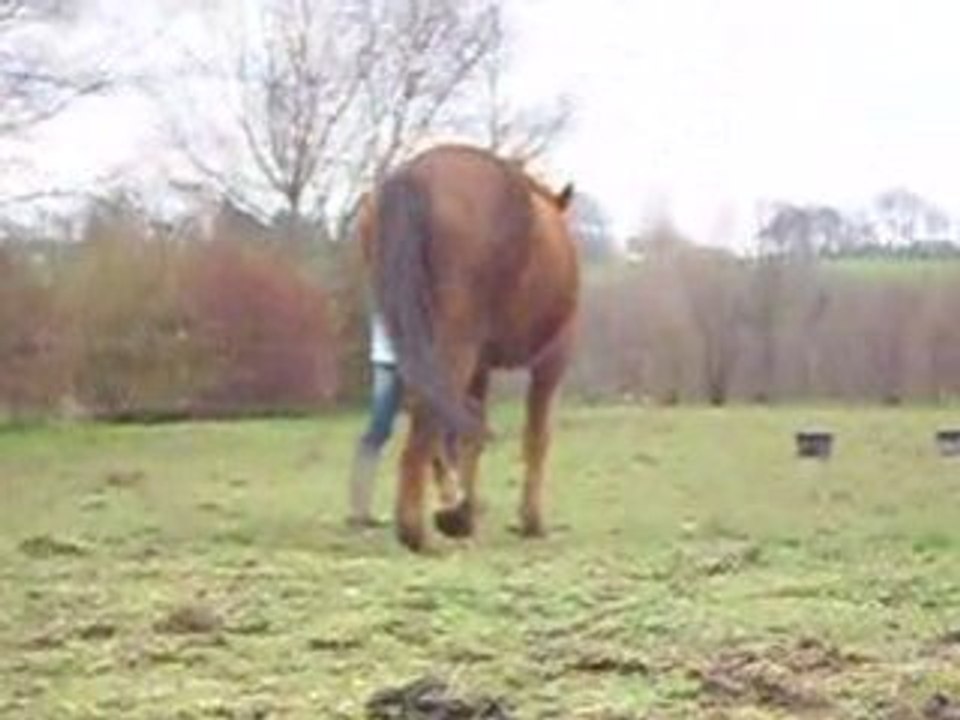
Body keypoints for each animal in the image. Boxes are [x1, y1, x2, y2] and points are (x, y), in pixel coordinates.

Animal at [357, 144, 579, 551]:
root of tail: (414, 176)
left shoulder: (480, 368)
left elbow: (468, 434)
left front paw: (465, 510)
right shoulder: (553, 359)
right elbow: (537, 435)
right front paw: (531, 521)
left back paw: (446, 511)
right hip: (452, 346)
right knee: (425, 422)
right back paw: (418, 531)